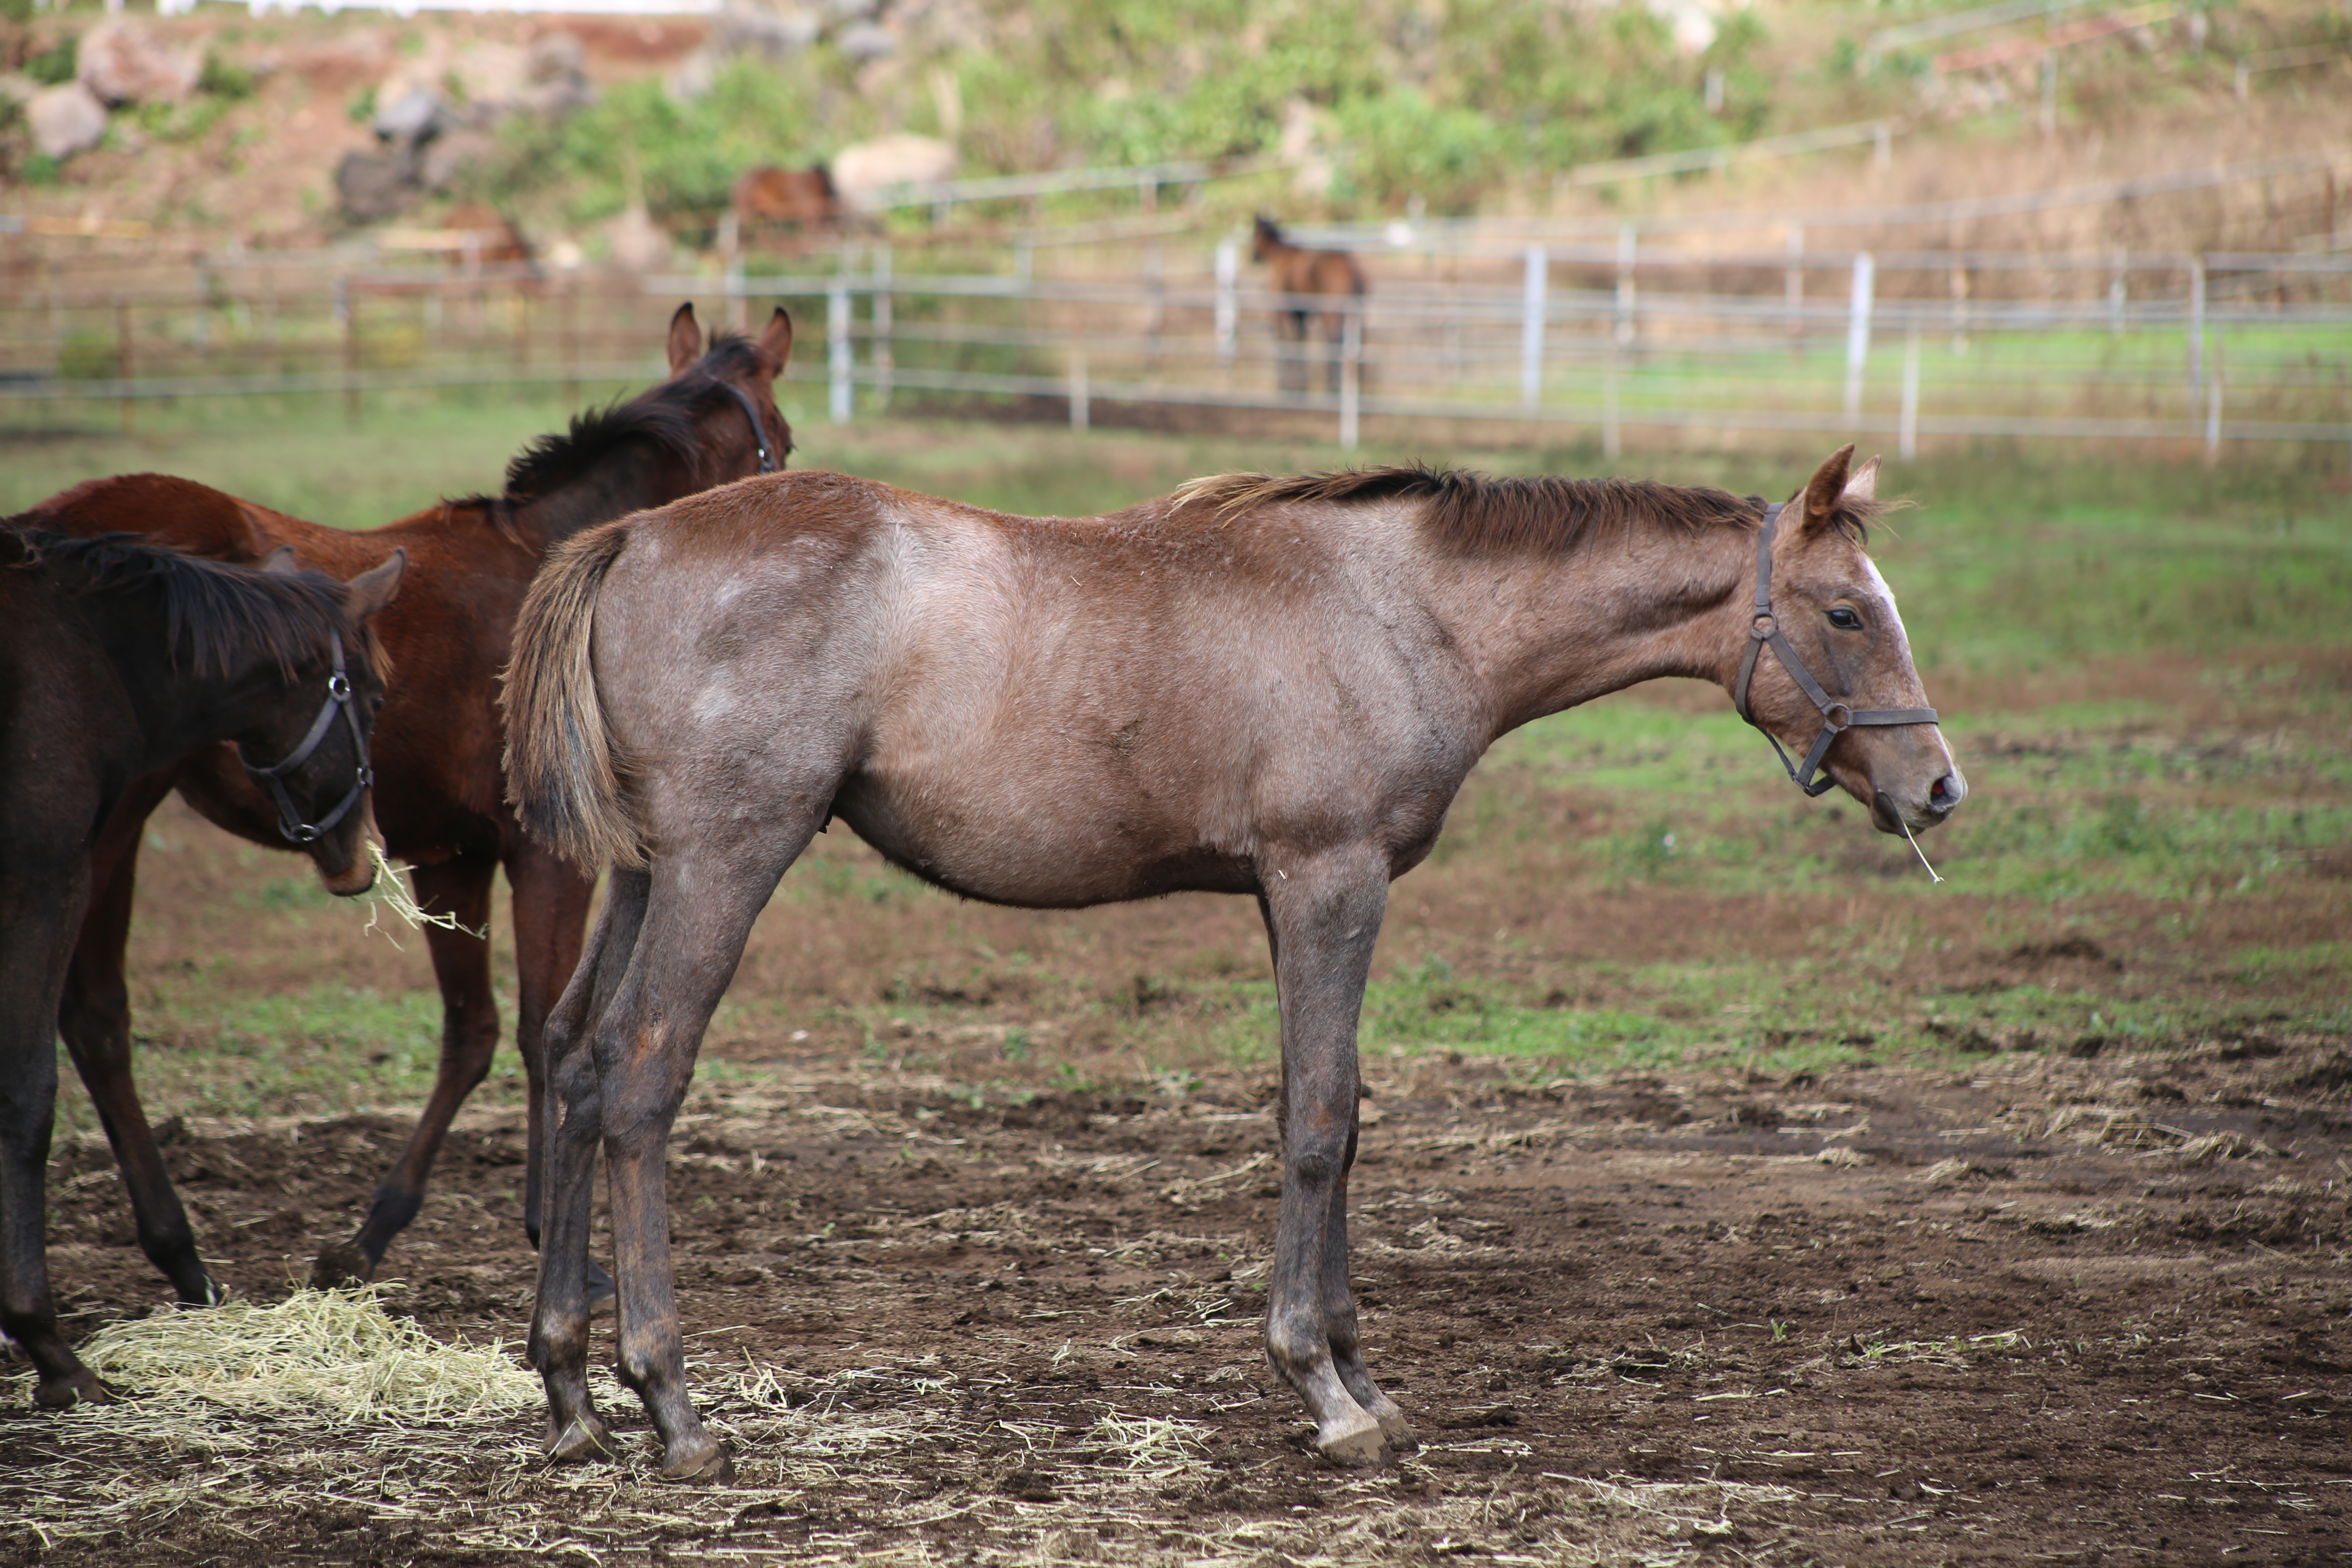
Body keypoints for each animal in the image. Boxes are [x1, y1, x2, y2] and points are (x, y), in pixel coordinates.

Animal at [2, 524, 404, 1410]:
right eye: (374, 697)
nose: (363, 855)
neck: (92, 653)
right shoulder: (48, 879)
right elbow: (31, 1091)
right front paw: (48, 1346)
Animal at [23, 305, 800, 1316]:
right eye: (780, 441)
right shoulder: (548, 856)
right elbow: (543, 1027)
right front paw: (562, 1246)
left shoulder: (449, 858)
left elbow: (471, 1034)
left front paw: (371, 1234)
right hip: (110, 825)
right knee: (95, 1015)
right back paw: (176, 1250)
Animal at [501, 444, 1966, 1486]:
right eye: (1847, 612)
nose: (1941, 787)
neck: (1405, 609)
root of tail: (636, 536)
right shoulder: (1330, 878)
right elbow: (1318, 1119)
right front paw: (1321, 1389)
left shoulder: (1298, 894)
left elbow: (1337, 1111)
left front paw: (1365, 1379)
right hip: (726, 862)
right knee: (643, 1081)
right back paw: (672, 1406)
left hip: (647, 873)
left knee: (575, 1065)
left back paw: (570, 1392)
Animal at [1261, 213, 1373, 395]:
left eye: (1255, 233)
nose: (1253, 256)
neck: (1282, 258)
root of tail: (1350, 266)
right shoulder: (1301, 314)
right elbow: (1301, 340)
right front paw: (1300, 383)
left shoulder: (1282, 312)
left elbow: (1286, 341)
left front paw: (1286, 383)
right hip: (1355, 313)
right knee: (1358, 340)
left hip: (1331, 312)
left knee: (1334, 339)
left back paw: (1333, 385)